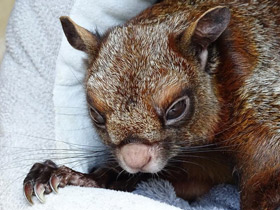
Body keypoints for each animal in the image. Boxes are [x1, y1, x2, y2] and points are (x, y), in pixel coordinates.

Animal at [22, 0, 280, 209]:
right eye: (95, 114)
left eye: (176, 108)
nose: (135, 160)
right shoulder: (196, 169)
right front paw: (68, 176)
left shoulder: (260, 101)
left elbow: (267, 170)